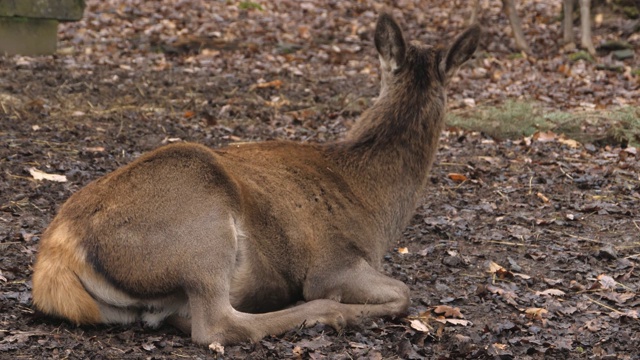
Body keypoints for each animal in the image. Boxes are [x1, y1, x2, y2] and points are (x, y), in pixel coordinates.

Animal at [31, 12, 480, 350]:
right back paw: (331, 314)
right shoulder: (333, 263)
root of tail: (57, 255)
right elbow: (403, 293)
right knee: (217, 324)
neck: (377, 204)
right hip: (202, 225)